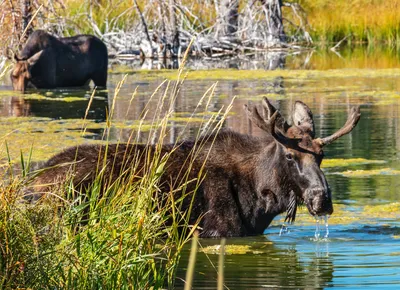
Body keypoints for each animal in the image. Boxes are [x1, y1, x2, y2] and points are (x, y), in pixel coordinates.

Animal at [30, 98, 362, 238]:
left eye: (321, 155)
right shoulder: (218, 231)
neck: (261, 199)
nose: (323, 199)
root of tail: (28, 186)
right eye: (291, 156)